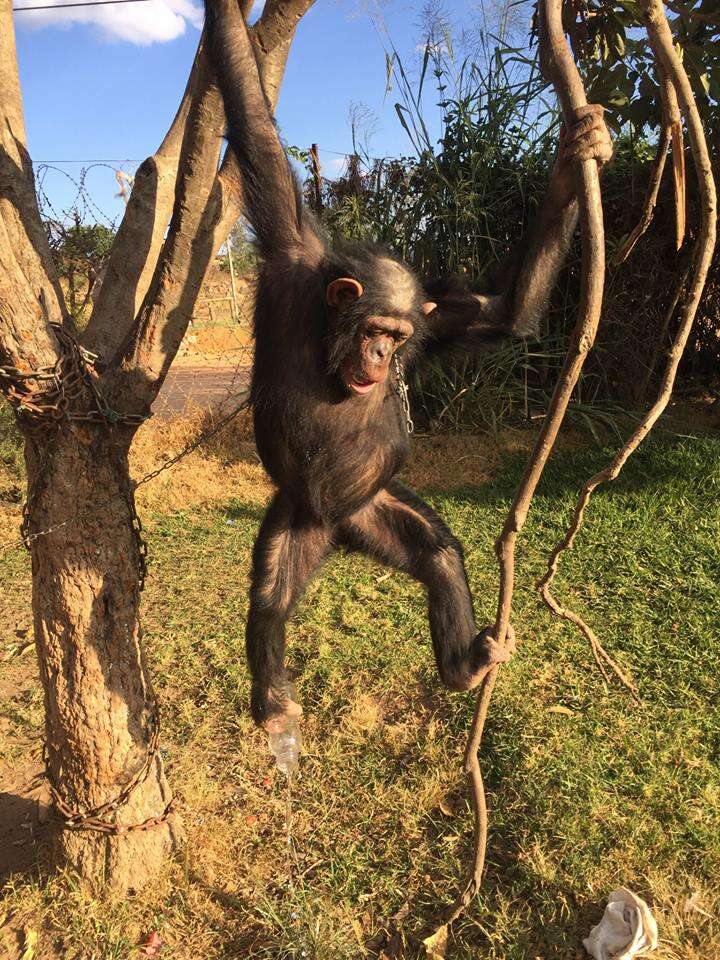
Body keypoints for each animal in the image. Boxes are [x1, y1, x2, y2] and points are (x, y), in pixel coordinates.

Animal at [202, 0, 612, 724]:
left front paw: (574, 158)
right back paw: (272, 695)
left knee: (439, 554)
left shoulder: (432, 321)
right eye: (373, 329)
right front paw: (223, 19)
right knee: (271, 595)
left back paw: (463, 667)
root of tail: (337, 530)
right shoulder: (288, 258)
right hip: (297, 511)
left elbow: (505, 314)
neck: (328, 326)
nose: (379, 354)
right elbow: (252, 124)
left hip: (375, 507)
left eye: (396, 339)